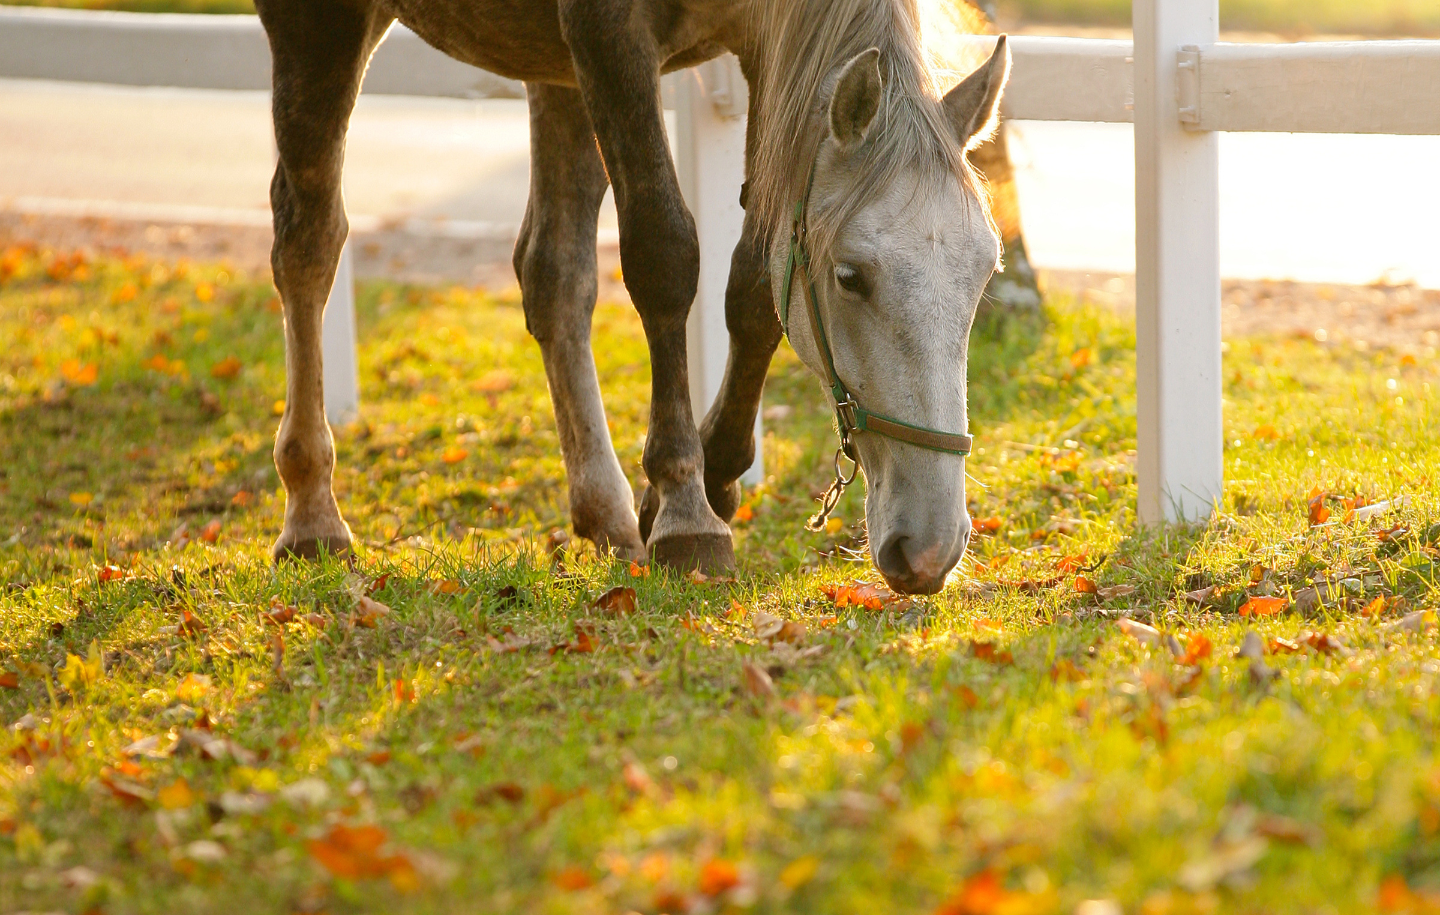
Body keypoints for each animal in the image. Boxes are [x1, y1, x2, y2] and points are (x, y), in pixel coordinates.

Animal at [254, 0, 1009, 595]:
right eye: (851, 276)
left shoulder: (758, 48)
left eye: (983, 274)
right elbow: (664, 254)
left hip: (555, 69)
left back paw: (607, 513)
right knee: (308, 243)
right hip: (321, 27)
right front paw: (684, 506)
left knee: (554, 272)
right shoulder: (609, 34)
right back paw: (312, 511)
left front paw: (716, 477)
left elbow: (755, 281)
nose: (933, 547)